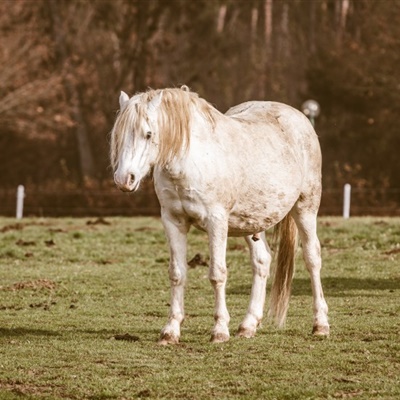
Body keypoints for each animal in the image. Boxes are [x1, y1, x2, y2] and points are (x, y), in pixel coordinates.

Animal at [111, 86, 330, 344]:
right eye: (118, 134)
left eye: (148, 134)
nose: (124, 179)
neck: (192, 160)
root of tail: (299, 118)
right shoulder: (173, 221)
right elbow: (177, 274)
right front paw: (170, 331)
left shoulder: (216, 222)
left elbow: (217, 274)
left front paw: (219, 330)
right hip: (250, 223)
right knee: (262, 261)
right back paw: (248, 325)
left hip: (305, 208)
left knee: (312, 258)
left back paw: (320, 324)